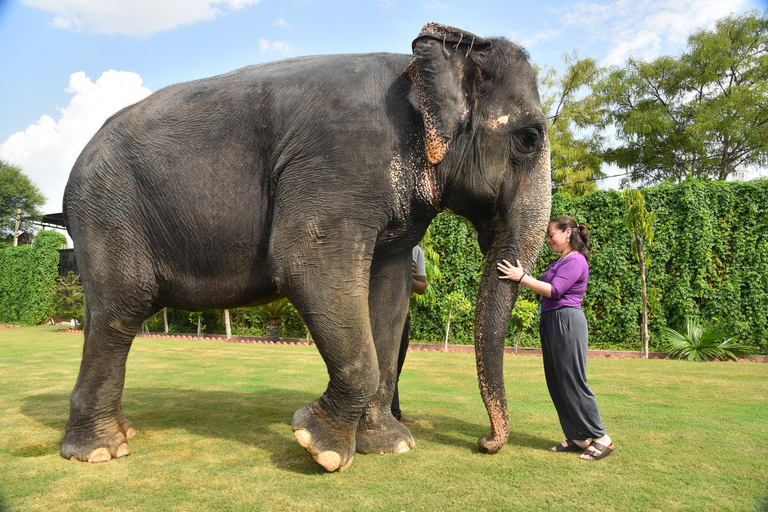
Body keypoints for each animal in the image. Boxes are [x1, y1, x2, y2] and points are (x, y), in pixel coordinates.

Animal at [61, 23, 552, 472]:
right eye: (529, 139)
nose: (485, 444)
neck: (415, 73)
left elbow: (389, 294)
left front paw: (389, 445)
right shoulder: (338, 164)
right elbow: (305, 263)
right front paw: (321, 447)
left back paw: (121, 432)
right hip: (107, 210)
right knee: (122, 307)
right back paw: (101, 451)